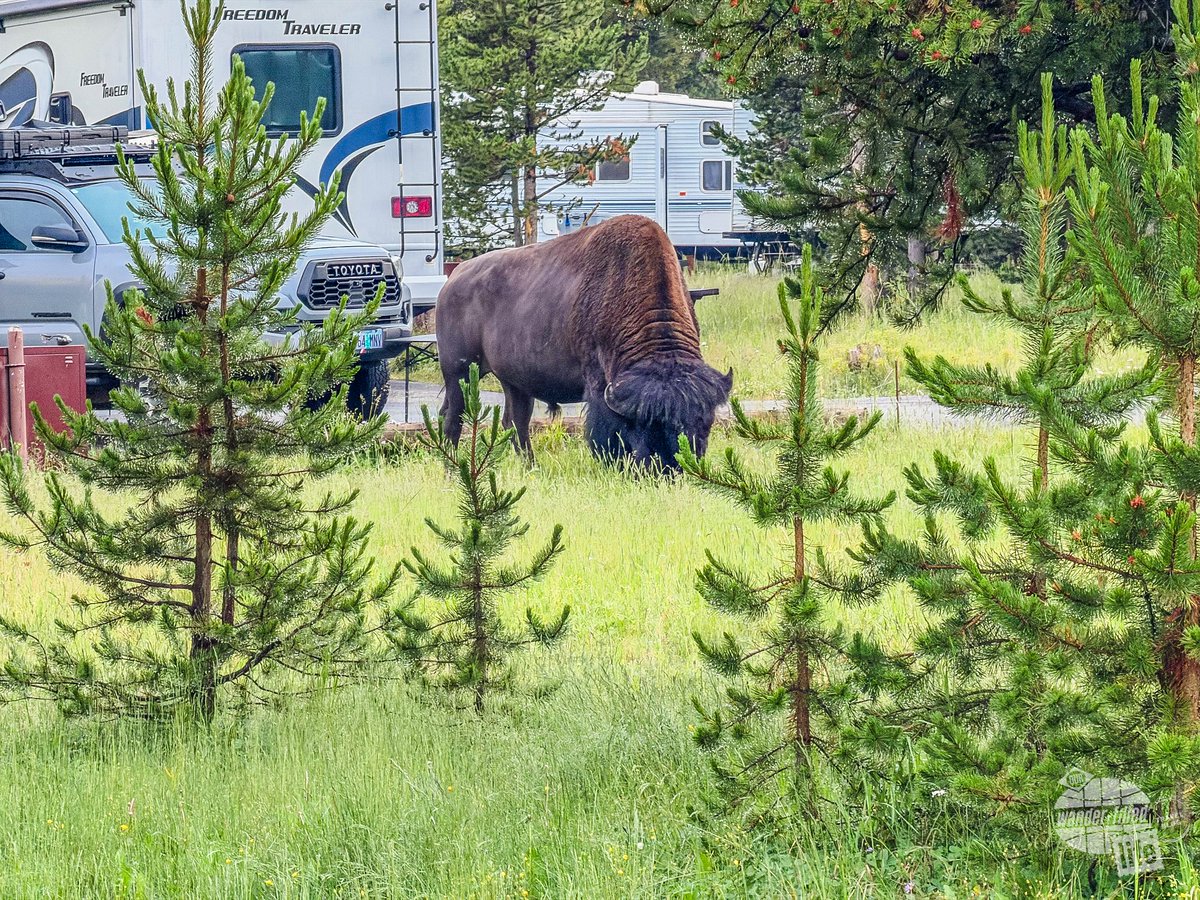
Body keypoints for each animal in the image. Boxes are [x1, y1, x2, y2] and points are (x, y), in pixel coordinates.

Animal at [436, 215, 732, 470]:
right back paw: (452, 469)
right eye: (644, 422)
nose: (670, 466)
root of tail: (453, 279)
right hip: (459, 373)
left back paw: (531, 467)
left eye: (703, 422)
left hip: (514, 382)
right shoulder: (599, 384)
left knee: (515, 421)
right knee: (453, 419)